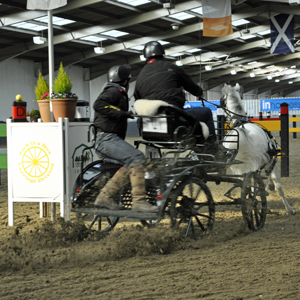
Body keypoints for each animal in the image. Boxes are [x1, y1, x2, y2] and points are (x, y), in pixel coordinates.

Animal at [220, 83, 296, 214]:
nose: (226, 118)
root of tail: (243, 131)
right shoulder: (268, 162)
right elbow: (273, 184)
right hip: (262, 163)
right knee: (271, 186)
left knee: (251, 185)